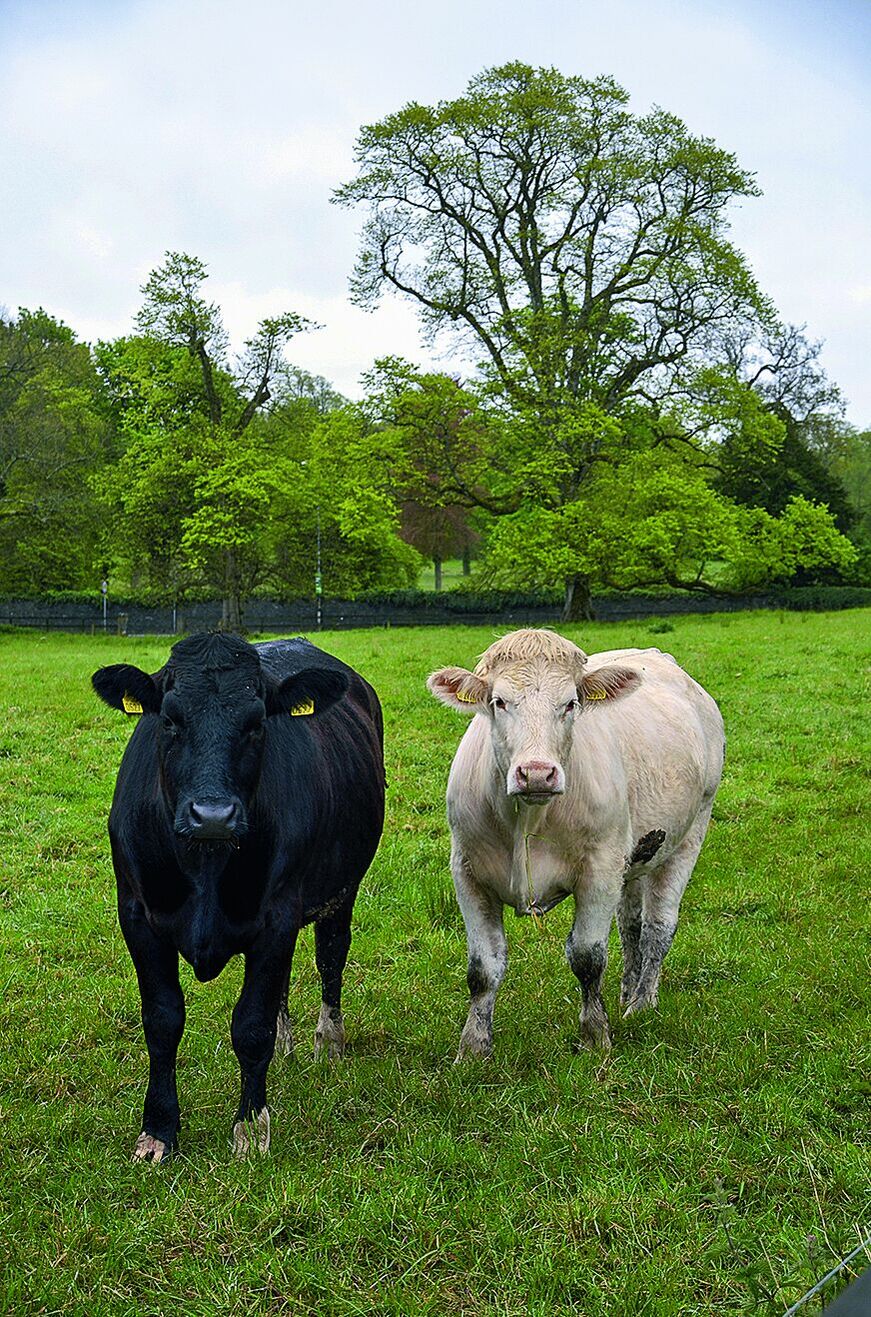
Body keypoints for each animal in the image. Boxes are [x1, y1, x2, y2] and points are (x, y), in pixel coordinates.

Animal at [90, 632, 384, 1158]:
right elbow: (162, 1021)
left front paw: (250, 1128)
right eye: (169, 719)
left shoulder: (277, 918)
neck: (205, 864)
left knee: (330, 956)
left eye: (256, 723)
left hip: (342, 887)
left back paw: (328, 1042)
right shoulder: (138, 917)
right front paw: (158, 1130)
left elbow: (251, 1026)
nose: (213, 814)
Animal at [424, 626, 722, 1058]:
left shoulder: (599, 872)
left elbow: (587, 957)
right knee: (631, 924)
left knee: (658, 927)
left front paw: (595, 1034)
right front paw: (474, 1047)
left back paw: (641, 1003)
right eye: (499, 702)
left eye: (571, 703)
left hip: (689, 834)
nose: (536, 773)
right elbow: (483, 968)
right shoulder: (467, 873)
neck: (528, 820)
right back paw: (628, 990)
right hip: (636, 855)